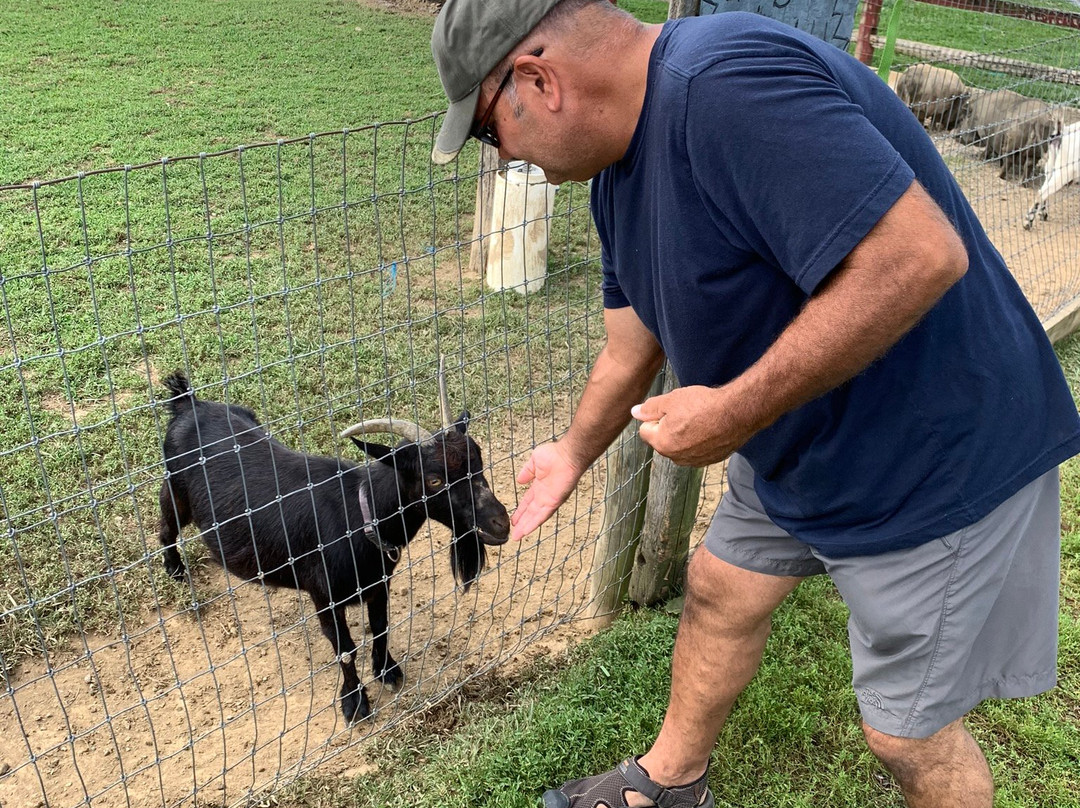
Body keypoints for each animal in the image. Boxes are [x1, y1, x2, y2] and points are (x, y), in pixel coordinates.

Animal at [156, 369, 509, 721]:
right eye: (434, 480)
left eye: (477, 458)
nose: (501, 523)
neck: (361, 515)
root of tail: (189, 404)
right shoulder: (324, 595)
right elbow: (345, 650)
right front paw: (355, 702)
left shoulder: (378, 583)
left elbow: (380, 626)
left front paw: (387, 670)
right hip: (175, 488)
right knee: (166, 528)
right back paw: (174, 569)